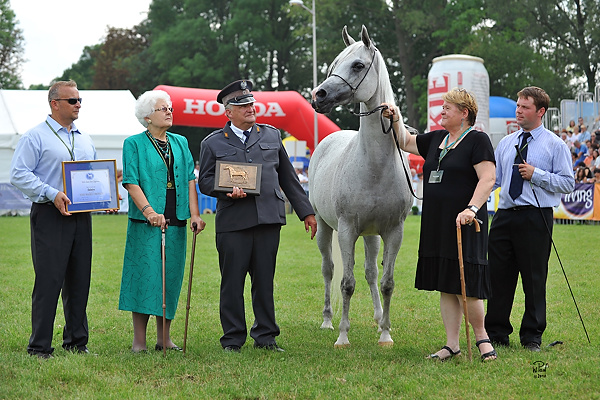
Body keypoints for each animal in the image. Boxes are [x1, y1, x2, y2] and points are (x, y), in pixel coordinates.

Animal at [310, 24, 412, 346]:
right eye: (334, 65)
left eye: (357, 65)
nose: (319, 95)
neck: (375, 167)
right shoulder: (346, 230)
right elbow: (346, 283)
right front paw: (343, 336)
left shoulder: (393, 232)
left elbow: (386, 282)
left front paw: (386, 334)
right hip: (324, 228)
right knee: (328, 271)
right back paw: (328, 320)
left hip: (371, 236)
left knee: (370, 273)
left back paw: (378, 319)